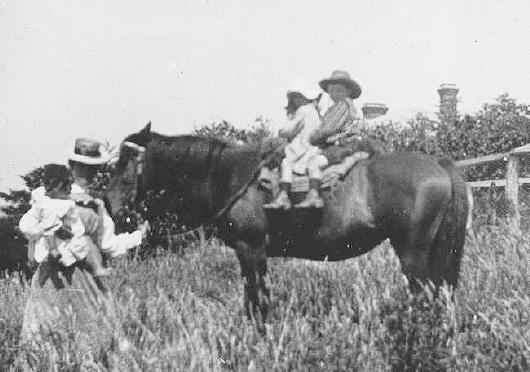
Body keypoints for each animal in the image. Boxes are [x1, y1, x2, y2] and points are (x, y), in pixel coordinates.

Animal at [106, 123, 466, 322]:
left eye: (129, 160)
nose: (111, 206)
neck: (231, 177)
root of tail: (439, 165)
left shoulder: (251, 249)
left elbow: (259, 300)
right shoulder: (247, 254)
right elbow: (252, 300)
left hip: (412, 253)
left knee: (427, 296)